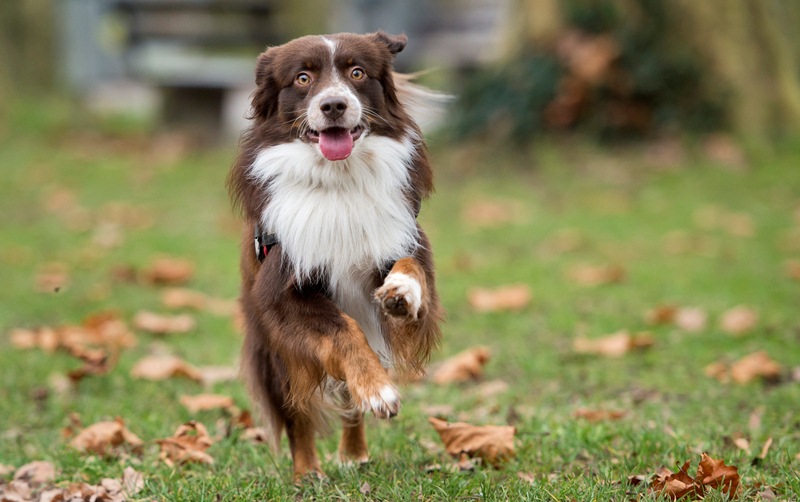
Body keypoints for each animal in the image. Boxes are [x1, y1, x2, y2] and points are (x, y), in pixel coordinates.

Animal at [227, 31, 444, 478]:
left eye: (357, 73)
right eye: (303, 78)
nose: (333, 105)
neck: (338, 180)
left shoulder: (401, 236)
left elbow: (412, 268)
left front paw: (402, 293)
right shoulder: (282, 293)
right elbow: (343, 333)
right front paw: (378, 391)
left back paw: (353, 453)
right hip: (272, 351)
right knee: (296, 409)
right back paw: (307, 472)